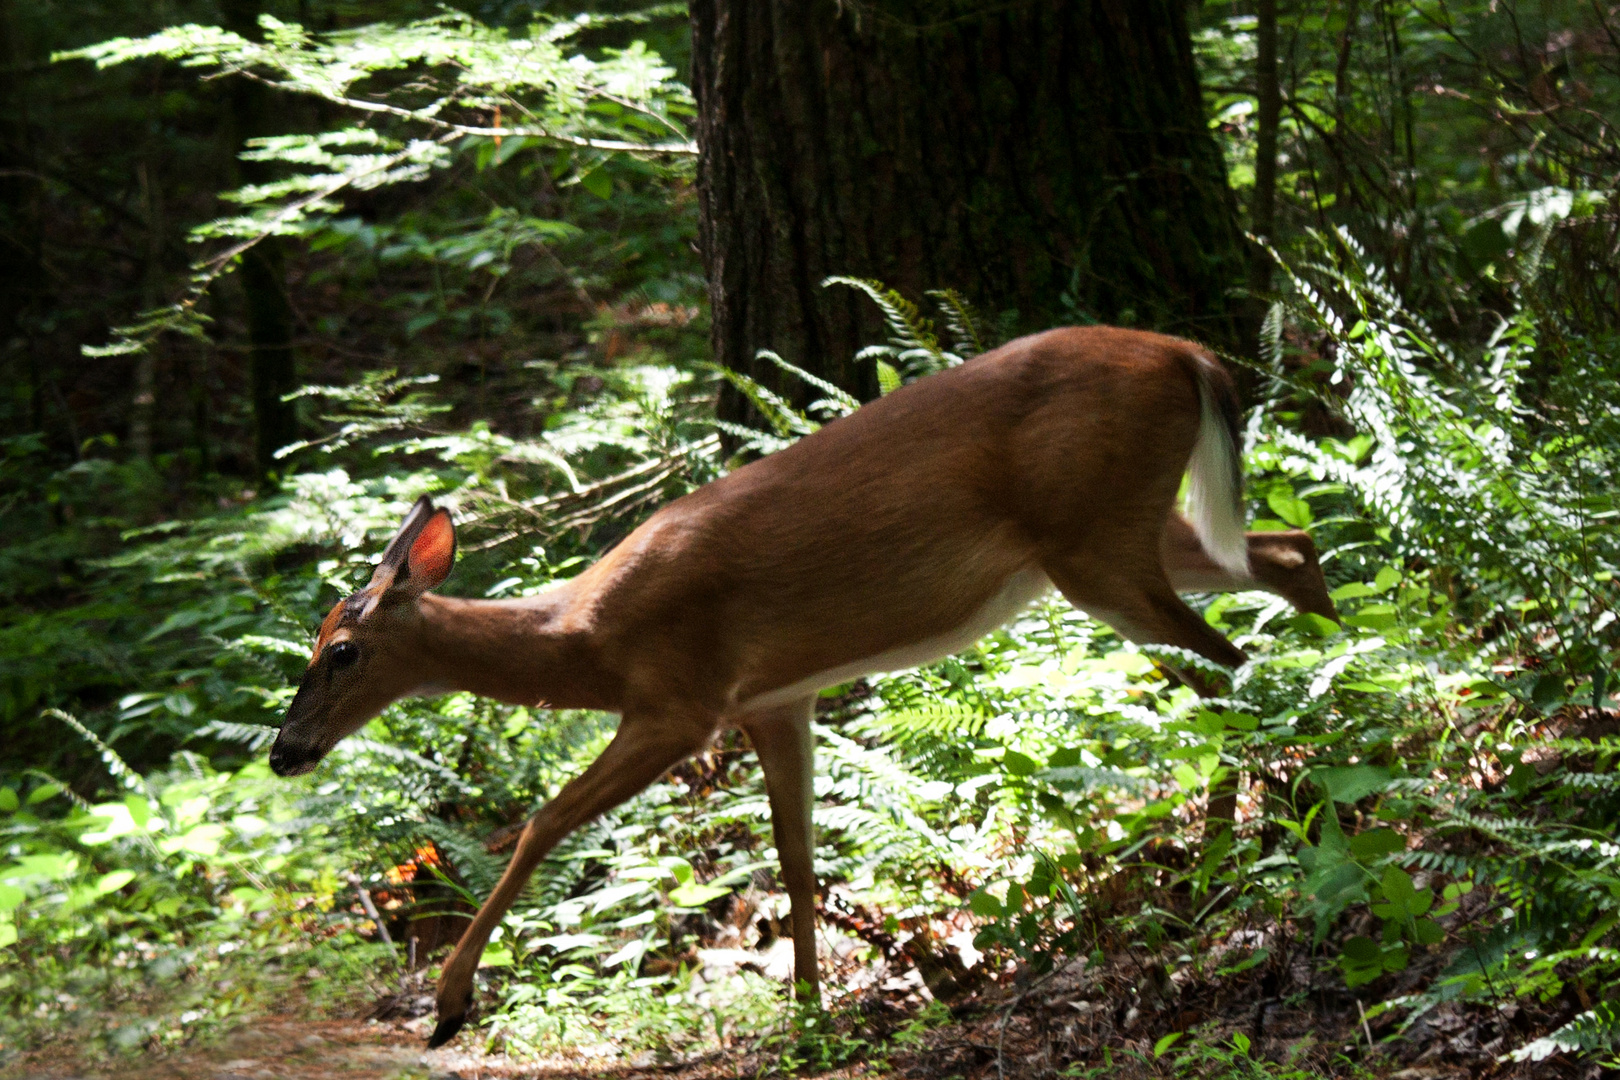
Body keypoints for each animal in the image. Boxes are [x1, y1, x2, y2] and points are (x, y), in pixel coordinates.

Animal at [265, 323, 1328, 1049]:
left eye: (341, 650)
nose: (284, 753)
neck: (582, 640)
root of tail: (1186, 352)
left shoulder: (680, 704)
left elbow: (542, 823)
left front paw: (447, 1006)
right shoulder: (776, 703)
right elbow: (798, 859)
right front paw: (810, 1013)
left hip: (1096, 544)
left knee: (1235, 666)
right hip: (1130, 533)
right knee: (1288, 554)